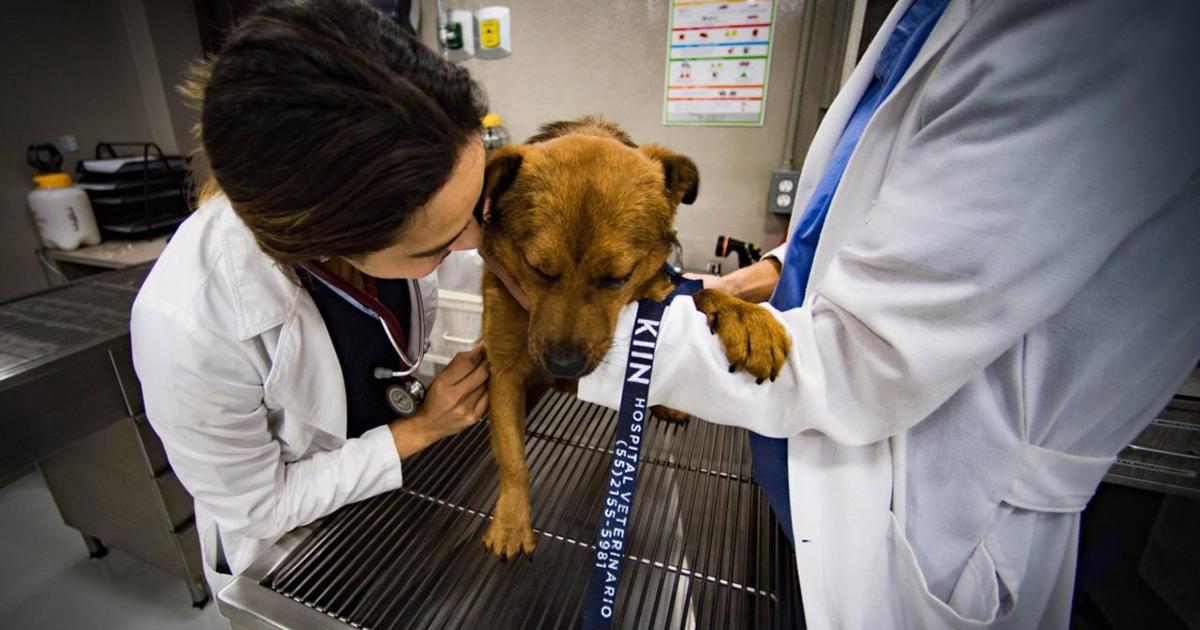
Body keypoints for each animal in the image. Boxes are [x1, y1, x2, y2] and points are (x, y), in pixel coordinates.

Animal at [472, 116, 792, 554]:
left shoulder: (660, 289)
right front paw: (511, 520)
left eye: (617, 278)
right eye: (537, 269)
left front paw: (747, 318)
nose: (563, 365)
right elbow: (512, 456)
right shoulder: (505, 369)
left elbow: (698, 290)